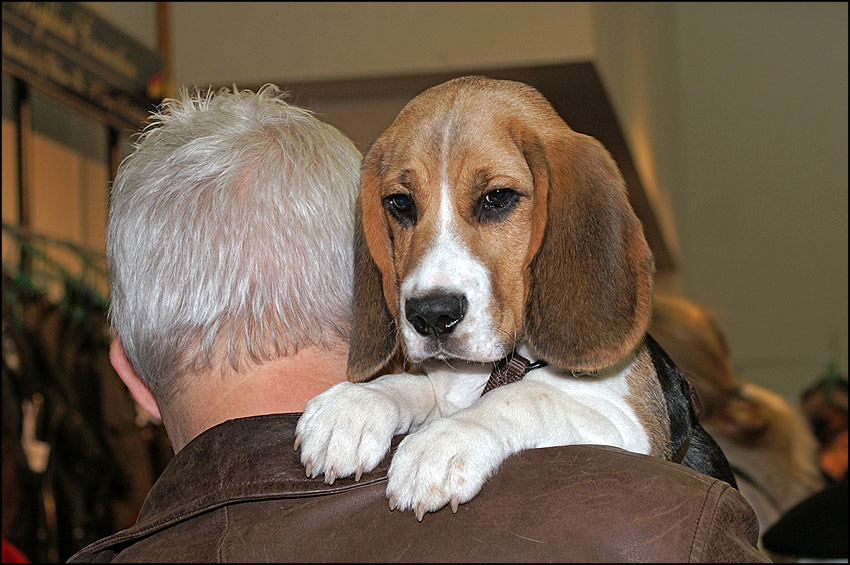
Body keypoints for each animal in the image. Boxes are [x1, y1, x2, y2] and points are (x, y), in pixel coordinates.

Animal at [294, 75, 732, 520]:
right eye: (400, 203)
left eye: (497, 197)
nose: (431, 315)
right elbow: (419, 385)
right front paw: (359, 404)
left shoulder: (629, 424)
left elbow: (528, 395)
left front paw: (444, 440)